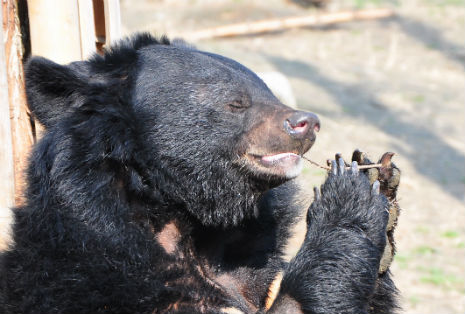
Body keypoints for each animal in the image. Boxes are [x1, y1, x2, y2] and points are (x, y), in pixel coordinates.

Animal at [0, 34, 398, 314]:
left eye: (270, 93)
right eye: (236, 102)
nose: (306, 123)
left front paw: (381, 193)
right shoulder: (105, 277)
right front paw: (348, 198)